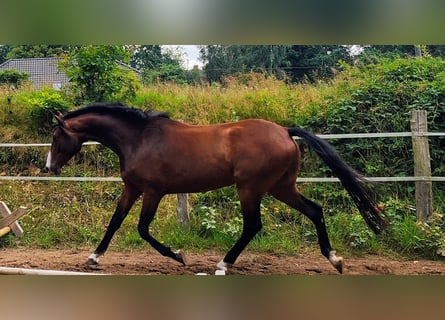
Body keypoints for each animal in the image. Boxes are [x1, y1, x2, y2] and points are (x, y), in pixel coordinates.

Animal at [46, 102, 386, 272]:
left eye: (55, 136)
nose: (49, 167)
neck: (138, 138)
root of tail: (285, 131)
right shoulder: (132, 188)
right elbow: (115, 222)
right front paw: (93, 258)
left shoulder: (153, 191)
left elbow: (142, 229)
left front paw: (179, 255)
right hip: (281, 187)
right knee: (315, 211)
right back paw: (335, 259)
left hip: (250, 188)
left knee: (252, 225)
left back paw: (223, 263)